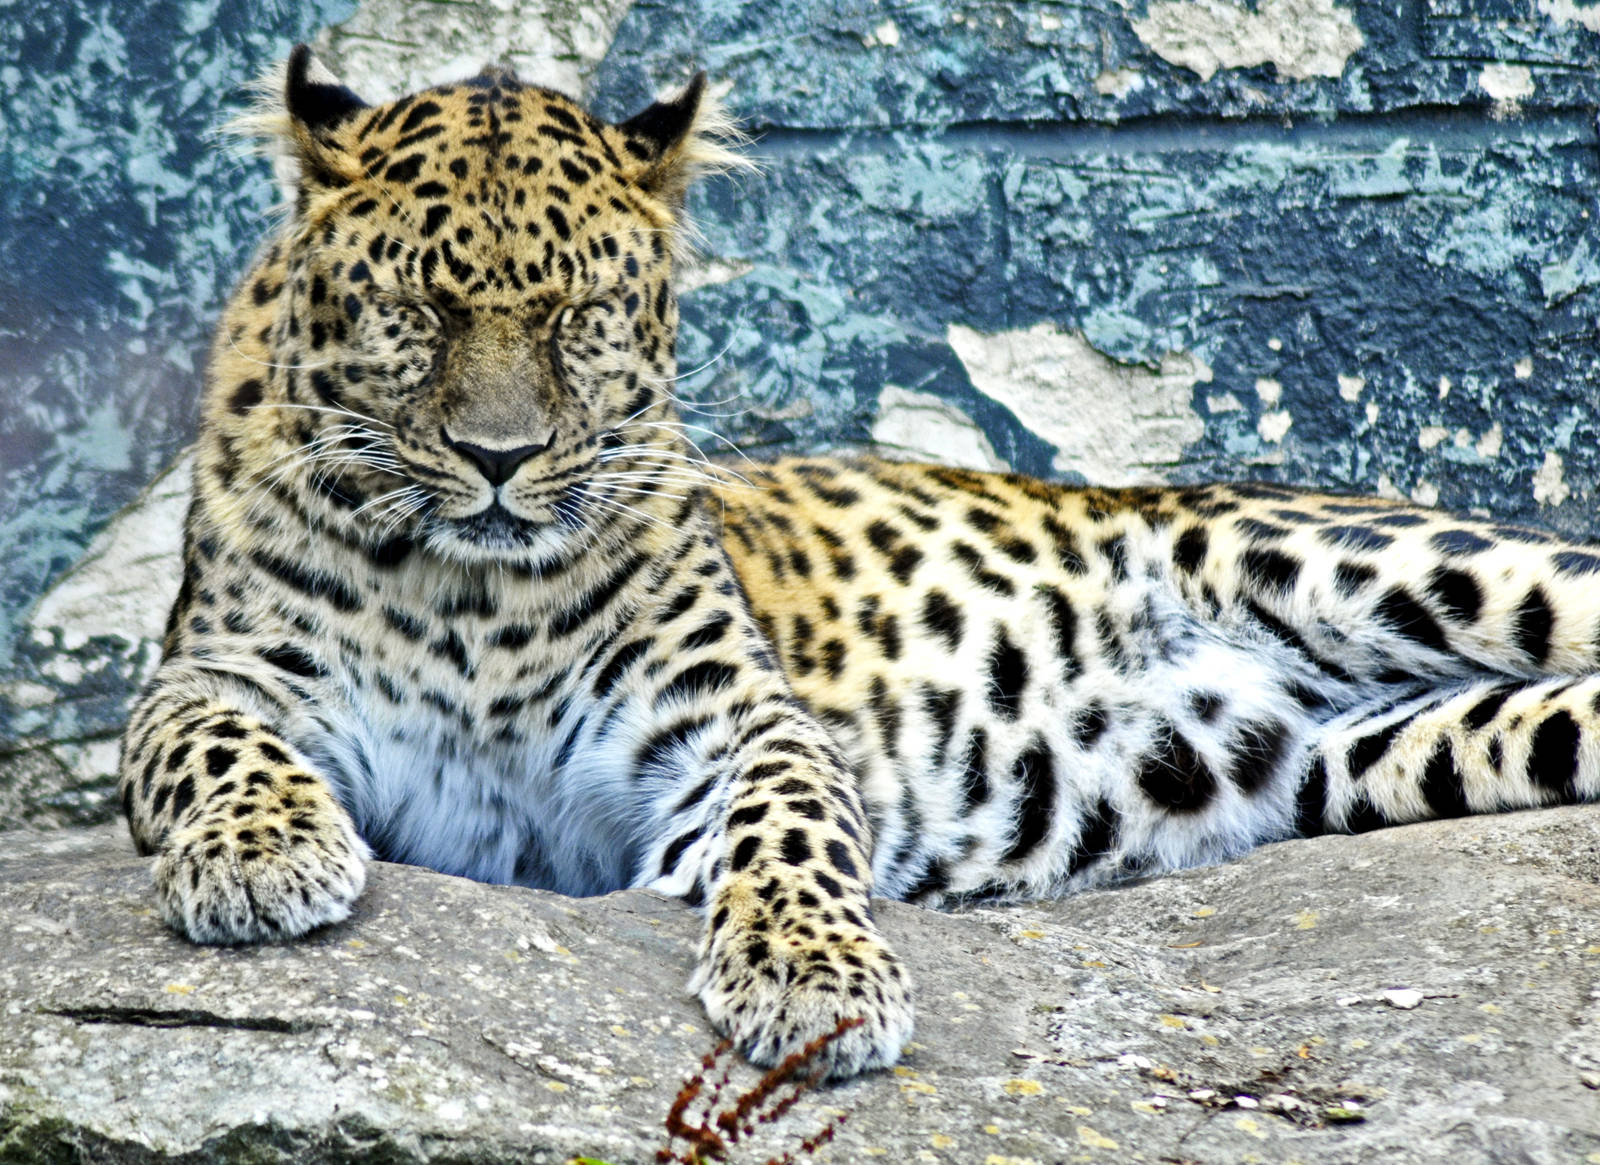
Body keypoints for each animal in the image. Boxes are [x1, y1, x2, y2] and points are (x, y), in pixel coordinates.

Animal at [119, 45, 1600, 1082]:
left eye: (580, 313)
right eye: (417, 310)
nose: (499, 457)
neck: (474, 592)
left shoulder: (732, 720)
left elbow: (787, 825)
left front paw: (813, 975)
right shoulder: (214, 673)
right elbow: (214, 742)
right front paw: (260, 853)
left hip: (1407, 569)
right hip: (1382, 755)